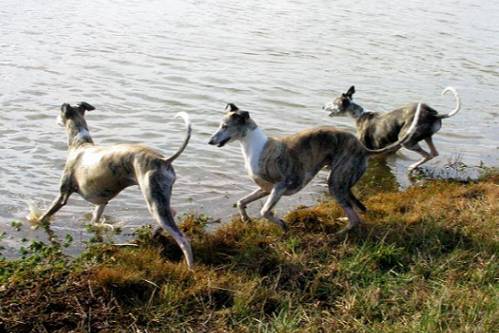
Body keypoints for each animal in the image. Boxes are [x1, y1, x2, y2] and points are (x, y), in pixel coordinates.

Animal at [36, 101, 193, 268]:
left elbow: (46, 215)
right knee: (173, 211)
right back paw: (156, 232)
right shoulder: (102, 200)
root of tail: (164, 160)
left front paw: (35, 222)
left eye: (60, 111)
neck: (80, 144)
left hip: (153, 199)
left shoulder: (63, 195)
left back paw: (190, 267)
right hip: (160, 197)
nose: (55, 120)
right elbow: (95, 220)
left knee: (182, 240)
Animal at [207, 102, 422, 232]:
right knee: (356, 208)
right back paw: (344, 221)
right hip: (343, 183)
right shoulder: (265, 188)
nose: (210, 141)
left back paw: (339, 233)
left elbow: (265, 211)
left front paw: (282, 224)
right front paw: (245, 219)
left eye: (225, 126)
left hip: (335, 181)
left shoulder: (280, 186)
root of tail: (363, 148)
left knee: (355, 218)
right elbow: (241, 202)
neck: (255, 146)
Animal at [324, 85, 460, 170]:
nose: (322, 106)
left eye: (333, 102)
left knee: (428, 155)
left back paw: (412, 167)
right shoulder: (386, 149)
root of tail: (433, 114)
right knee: (434, 153)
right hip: (425, 137)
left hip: (407, 140)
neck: (360, 115)